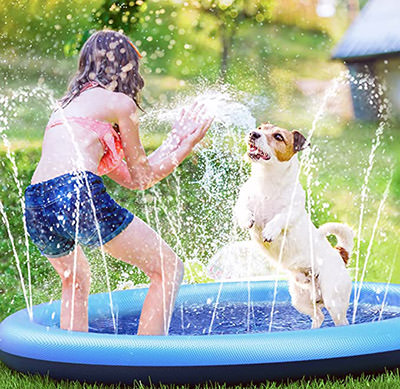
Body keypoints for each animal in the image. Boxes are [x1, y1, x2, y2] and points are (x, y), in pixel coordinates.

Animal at [234, 122, 354, 328]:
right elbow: (242, 208)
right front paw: (247, 219)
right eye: (260, 128)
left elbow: (281, 217)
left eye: (278, 136)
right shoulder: (243, 200)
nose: (253, 133)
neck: (267, 183)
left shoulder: (293, 211)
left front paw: (270, 230)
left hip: (334, 300)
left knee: (340, 321)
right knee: (318, 316)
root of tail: (339, 254)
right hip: (299, 298)